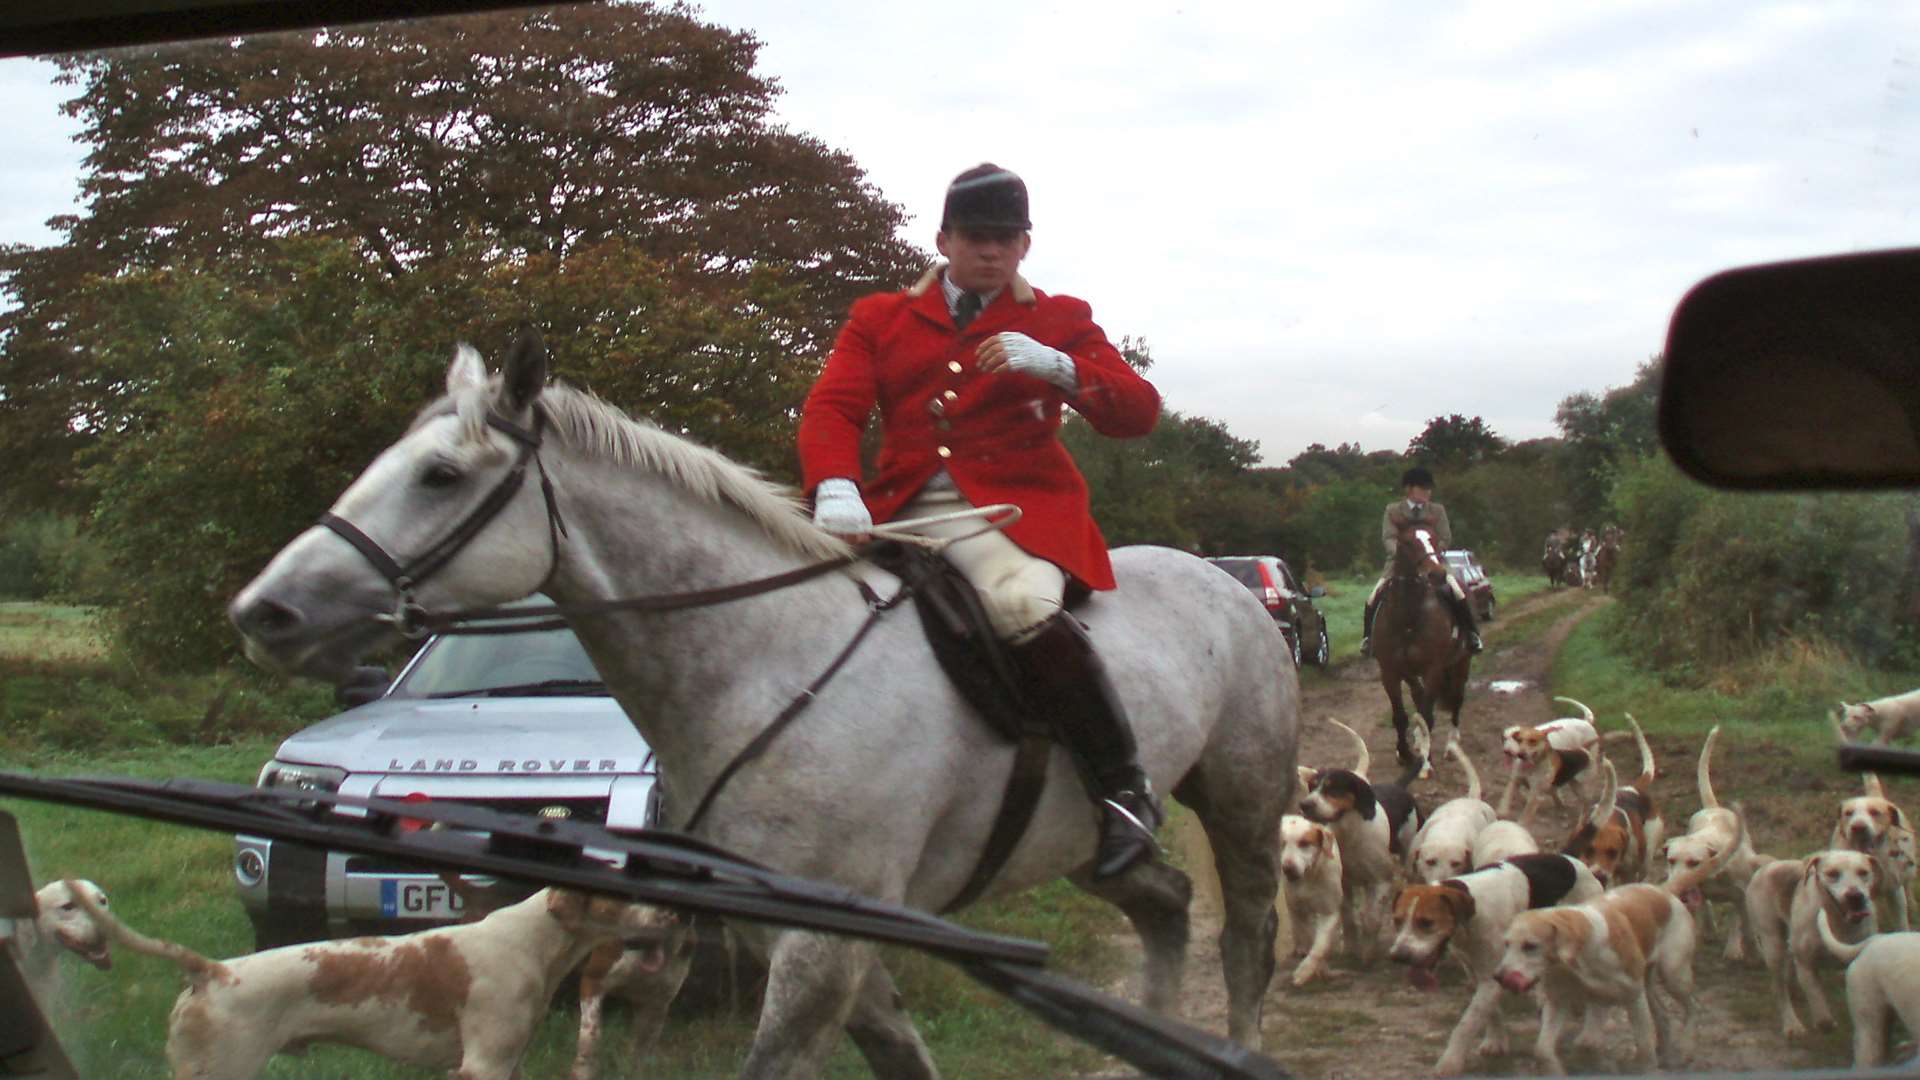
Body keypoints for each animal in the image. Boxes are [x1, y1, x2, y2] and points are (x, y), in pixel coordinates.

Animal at [228, 332, 1305, 1068]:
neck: (768, 661)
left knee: (1246, 941)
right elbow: (899, 1057)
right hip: (1084, 841)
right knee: (1165, 907)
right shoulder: (806, 931)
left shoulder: (819, 947)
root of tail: (1220, 582)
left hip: (1244, 805)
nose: (265, 611)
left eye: (440, 475)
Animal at [1374, 518, 1459, 772]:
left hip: (1460, 665)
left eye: (1434, 539)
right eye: (1408, 543)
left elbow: (1426, 716)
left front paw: (1425, 761)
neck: (1408, 619)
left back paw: (1450, 746)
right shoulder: (1390, 671)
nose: (1437, 574)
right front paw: (1404, 753)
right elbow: (1400, 716)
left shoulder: (1433, 670)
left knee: (1456, 702)